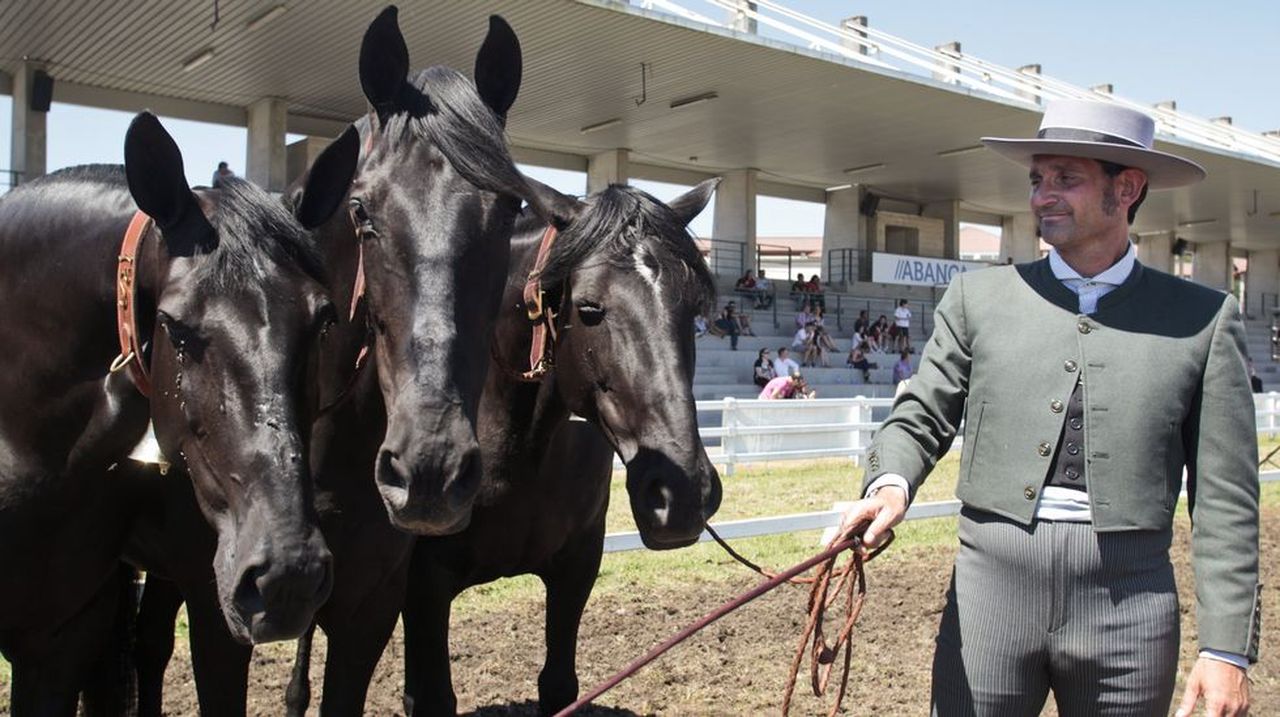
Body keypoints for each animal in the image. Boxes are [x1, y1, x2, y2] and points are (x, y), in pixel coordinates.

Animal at [394, 181, 727, 711]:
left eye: (694, 311)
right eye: (589, 309)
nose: (681, 496)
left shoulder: (577, 565)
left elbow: (558, 685)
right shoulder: (424, 586)